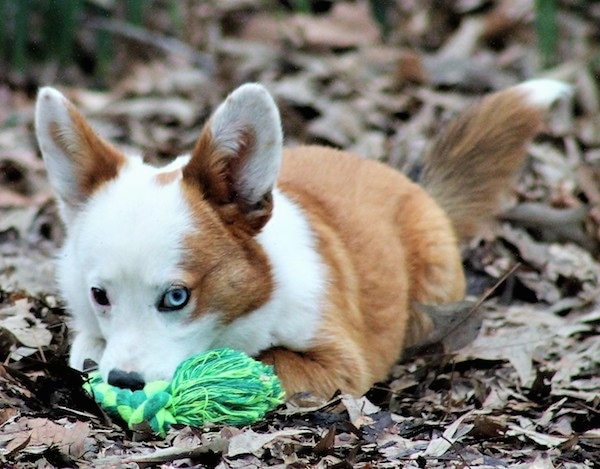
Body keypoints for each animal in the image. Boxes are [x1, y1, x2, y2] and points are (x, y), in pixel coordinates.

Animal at [35, 78, 568, 396]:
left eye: (176, 297)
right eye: (100, 295)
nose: (124, 383)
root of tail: (406, 178)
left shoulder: (338, 363)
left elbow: (267, 360)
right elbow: (87, 348)